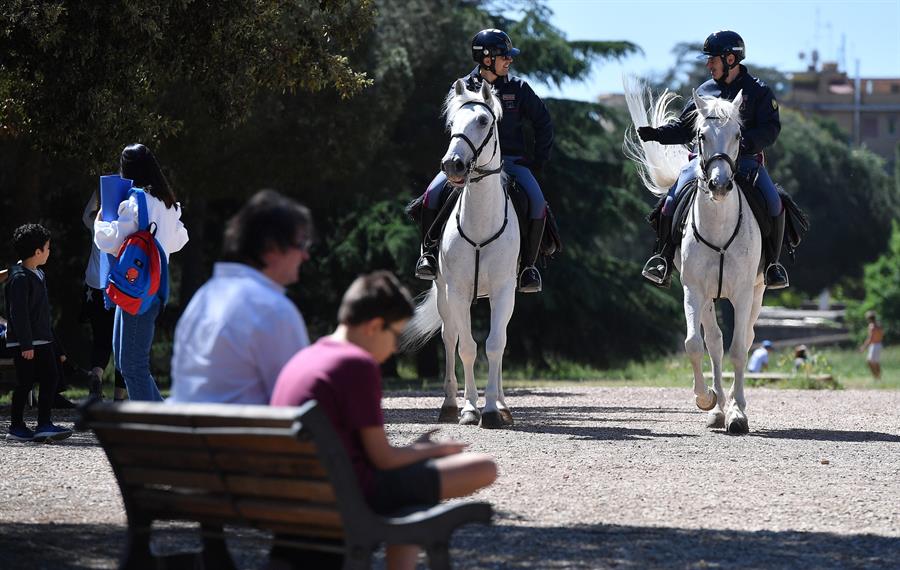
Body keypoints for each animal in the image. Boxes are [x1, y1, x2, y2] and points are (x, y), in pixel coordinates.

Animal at [402, 77, 520, 428]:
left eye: (482, 121)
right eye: (452, 123)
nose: (452, 164)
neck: (480, 220)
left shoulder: (503, 290)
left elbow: (495, 345)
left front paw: (493, 409)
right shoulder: (456, 290)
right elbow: (466, 346)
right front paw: (470, 409)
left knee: (500, 339)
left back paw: (503, 406)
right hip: (443, 294)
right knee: (449, 337)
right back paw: (450, 405)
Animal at [624, 77, 768, 432]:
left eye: (739, 135)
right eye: (701, 135)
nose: (720, 185)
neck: (719, 225)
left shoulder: (743, 294)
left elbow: (739, 350)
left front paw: (738, 414)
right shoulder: (693, 290)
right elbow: (694, 344)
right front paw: (707, 400)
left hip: (757, 292)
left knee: (745, 338)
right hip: (707, 299)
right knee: (714, 342)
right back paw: (718, 410)